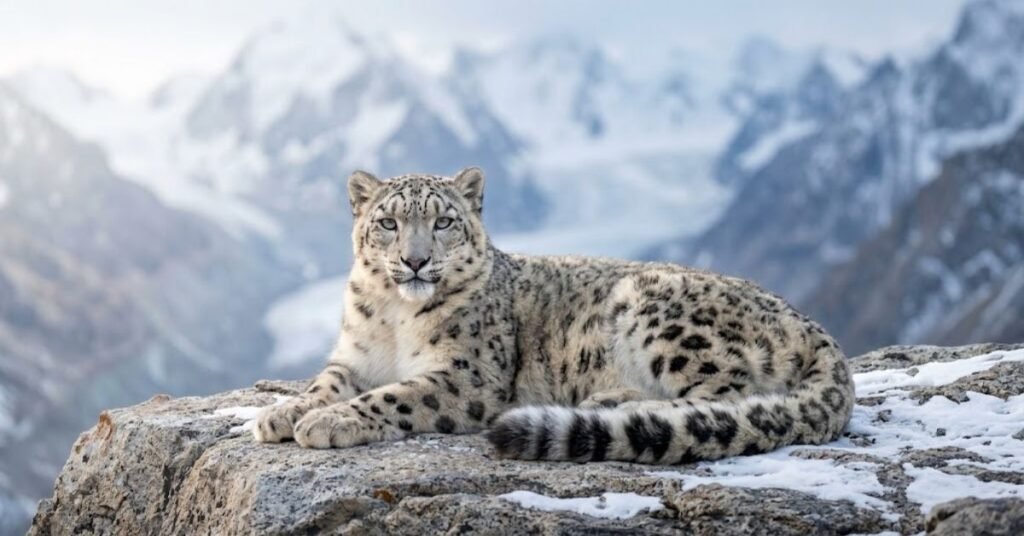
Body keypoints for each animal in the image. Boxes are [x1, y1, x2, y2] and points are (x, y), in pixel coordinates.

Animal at [253, 167, 855, 464]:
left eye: (443, 222)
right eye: (387, 223)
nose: (416, 260)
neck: (395, 317)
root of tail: (813, 325)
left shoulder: (467, 376)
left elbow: (393, 396)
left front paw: (330, 422)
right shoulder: (354, 357)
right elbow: (326, 382)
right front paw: (282, 413)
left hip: (660, 315)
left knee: (728, 394)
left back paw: (613, 403)